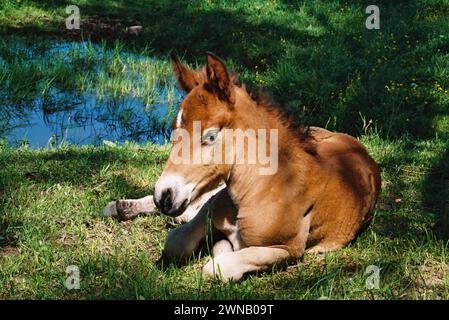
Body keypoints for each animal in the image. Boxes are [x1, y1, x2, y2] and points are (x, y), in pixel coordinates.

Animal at [104, 53, 378, 282]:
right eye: (174, 129)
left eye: (210, 136)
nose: (164, 195)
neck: (268, 187)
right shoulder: (208, 210)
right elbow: (176, 242)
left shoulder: (289, 249)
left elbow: (217, 267)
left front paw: (220, 248)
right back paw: (120, 207)